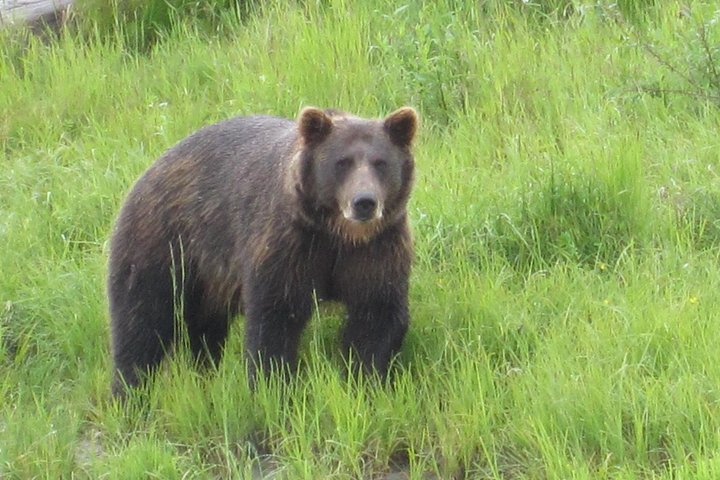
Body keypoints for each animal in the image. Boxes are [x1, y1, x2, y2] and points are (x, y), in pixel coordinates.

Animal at [107, 106, 418, 397]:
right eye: (342, 162)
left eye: (380, 162)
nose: (364, 202)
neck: (338, 234)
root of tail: (153, 167)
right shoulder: (289, 245)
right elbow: (275, 317)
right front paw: (274, 387)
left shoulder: (377, 248)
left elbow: (376, 314)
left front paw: (364, 381)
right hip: (163, 245)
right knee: (141, 321)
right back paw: (129, 391)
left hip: (209, 277)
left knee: (206, 327)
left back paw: (205, 373)